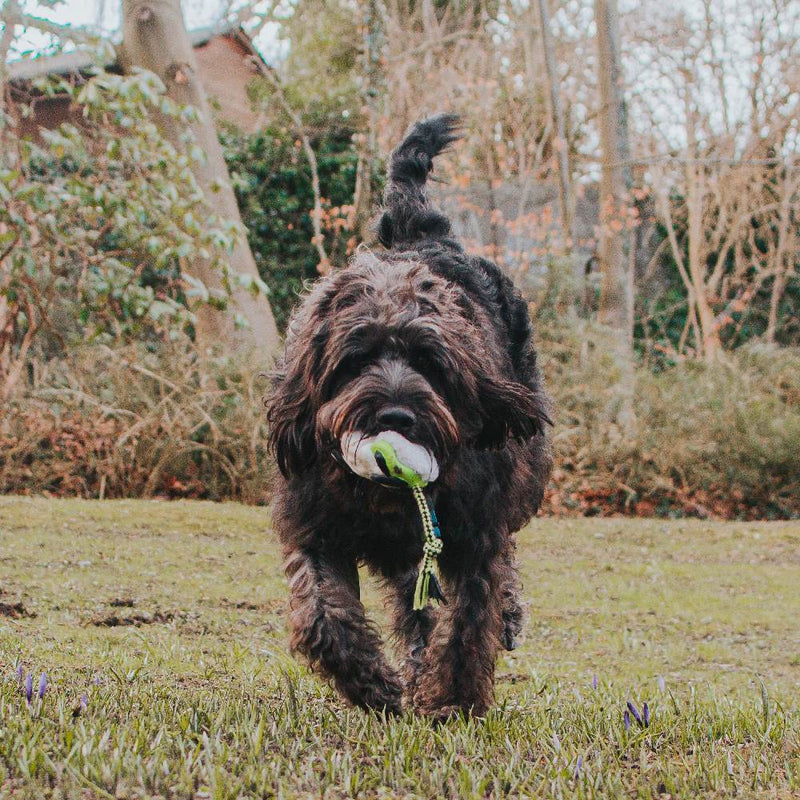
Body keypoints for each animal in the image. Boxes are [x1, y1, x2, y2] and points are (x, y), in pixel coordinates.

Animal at [266, 114, 552, 720]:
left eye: (429, 360)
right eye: (356, 358)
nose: (396, 416)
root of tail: (423, 235)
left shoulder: (475, 534)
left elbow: (470, 620)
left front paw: (454, 702)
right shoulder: (317, 528)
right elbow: (321, 615)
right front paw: (372, 685)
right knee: (414, 607)